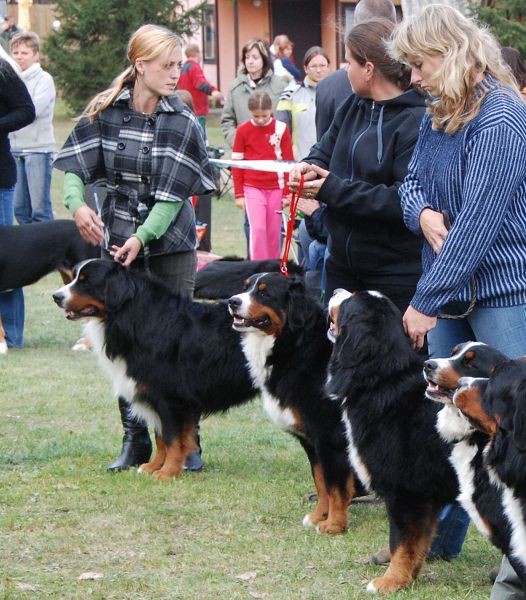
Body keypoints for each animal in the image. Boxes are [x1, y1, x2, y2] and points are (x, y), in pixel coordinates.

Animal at [53, 258, 258, 478]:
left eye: (86, 281)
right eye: (74, 277)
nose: (56, 296)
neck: (136, 317)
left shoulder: (169, 397)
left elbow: (173, 439)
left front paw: (167, 472)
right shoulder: (155, 394)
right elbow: (161, 438)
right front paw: (153, 467)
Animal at [229, 272, 360, 536]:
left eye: (264, 292)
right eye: (245, 287)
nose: (232, 301)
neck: (295, 346)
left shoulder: (329, 436)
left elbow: (335, 486)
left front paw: (334, 524)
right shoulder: (311, 440)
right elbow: (321, 482)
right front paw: (319, 516)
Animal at [328, 290, 460, 596]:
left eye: (349, 301)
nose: (336, 291)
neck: (379, 379)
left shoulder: (406, 491)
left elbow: (401, 540)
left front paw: (390, 581)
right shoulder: (426, 495)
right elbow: (417, 541)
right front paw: (407, 576)